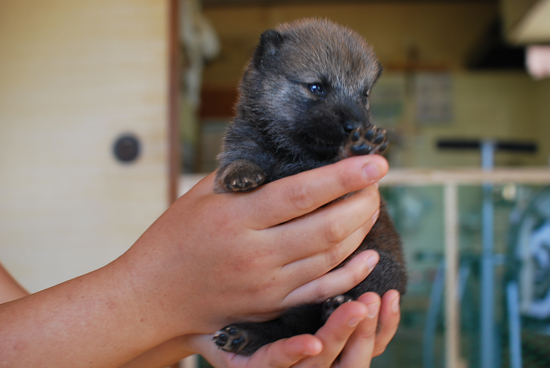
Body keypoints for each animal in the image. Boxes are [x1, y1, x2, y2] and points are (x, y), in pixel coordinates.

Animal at [213, 18, 408, 356]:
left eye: (364, 95)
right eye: (316, 87)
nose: (355, 126)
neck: (289, 153)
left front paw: (357, 148)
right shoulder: (241, 142)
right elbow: (237, 160)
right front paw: (241, 174)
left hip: (379, 267)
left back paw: (334, 307)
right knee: (286, 329)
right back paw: (243, 335)